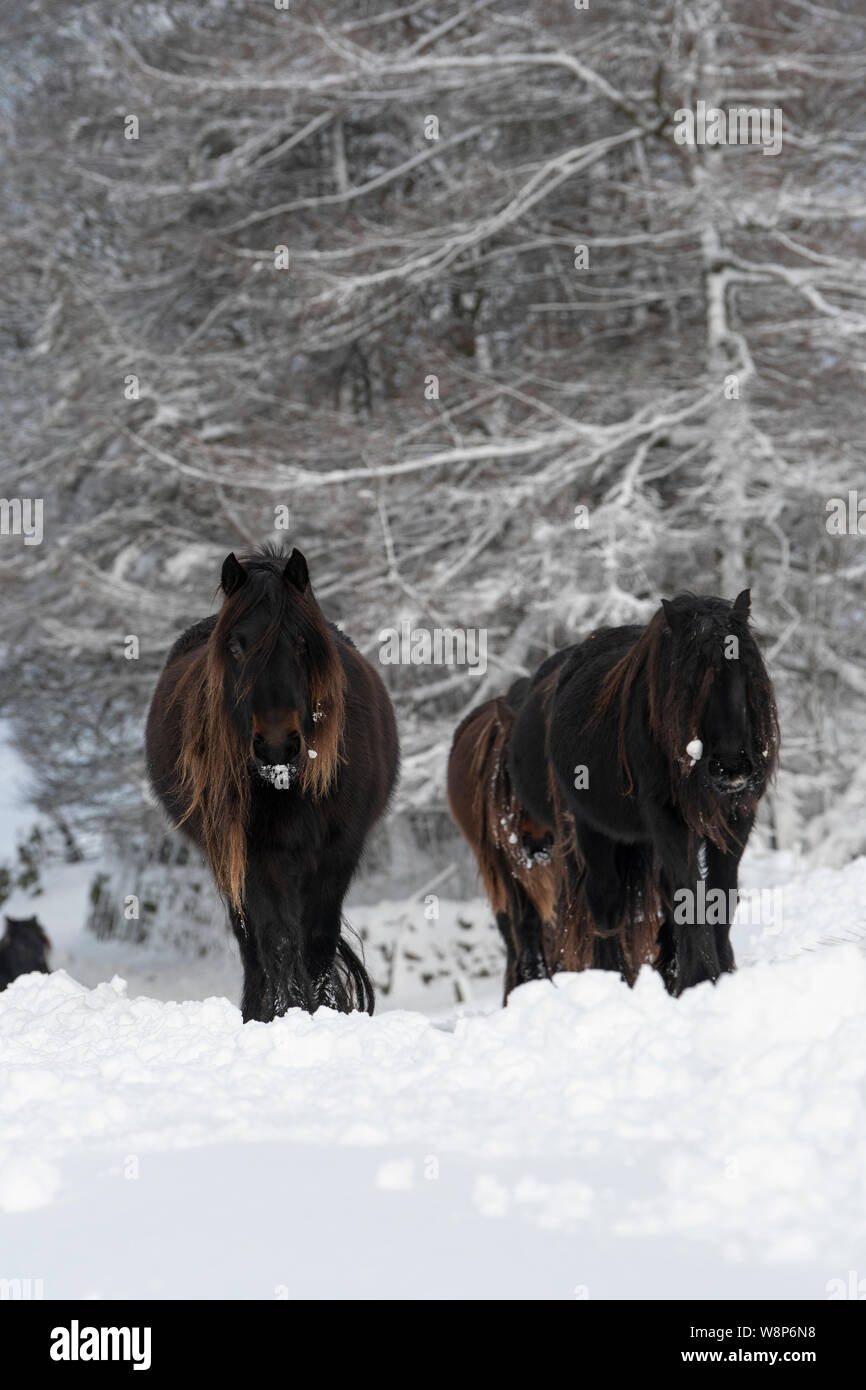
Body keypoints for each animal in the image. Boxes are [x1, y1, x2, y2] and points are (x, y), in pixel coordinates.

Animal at [146, 544, 400, 1023]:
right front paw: (286, 1013)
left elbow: (317, 938)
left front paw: (324, 1011)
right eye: (235, 645)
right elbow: (278, 940)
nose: (277, 746)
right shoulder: (256, 855)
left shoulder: (339, 849)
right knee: (252, 946)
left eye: (301, 643)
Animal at [450, 592, 783, 1006]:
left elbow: (722, 893)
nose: (731, 766)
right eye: (688, 679)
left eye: (746, 669)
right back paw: (609, 978)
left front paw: (719, 974)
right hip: (587, 835)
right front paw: (697, 979)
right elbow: (687, 893)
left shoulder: (737, 817)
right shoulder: (668, 819)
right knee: (601, 905)